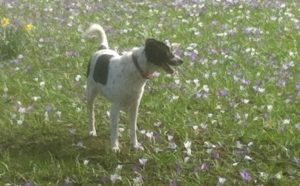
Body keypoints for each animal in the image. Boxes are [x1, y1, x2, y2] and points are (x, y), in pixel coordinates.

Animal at [84, 23, 183, 151]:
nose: (182, 60)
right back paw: (92, 130)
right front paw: (115, 147)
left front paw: (135, 144)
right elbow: (115, 130)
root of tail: (102, 49)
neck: (137, 69)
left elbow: (133, 128)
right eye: (167, 52)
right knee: (91, 113)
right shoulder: (115, 107)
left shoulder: (135, 105)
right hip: (90, 93)